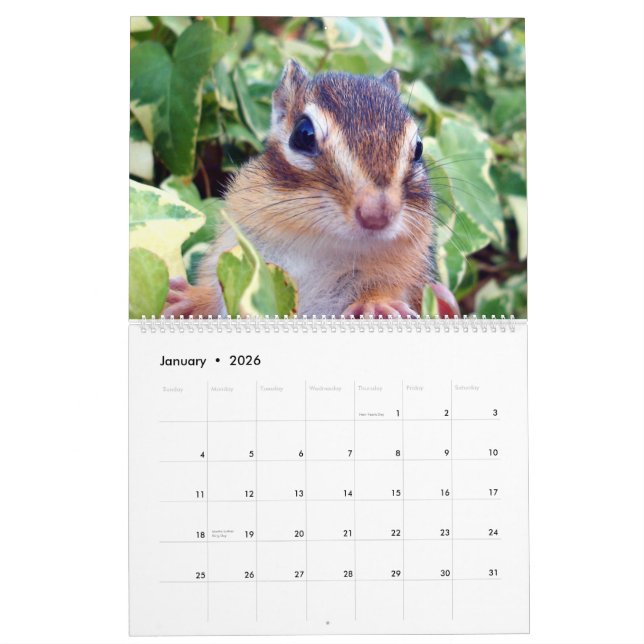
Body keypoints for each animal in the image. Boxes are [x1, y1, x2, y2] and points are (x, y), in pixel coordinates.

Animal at [165, 59, 459, 319]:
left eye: (419, 147)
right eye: (303, 134)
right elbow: (213, 289)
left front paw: (377, 304)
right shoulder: (230, 248)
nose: (376, 214)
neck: (321, 244)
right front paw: (188, 298)